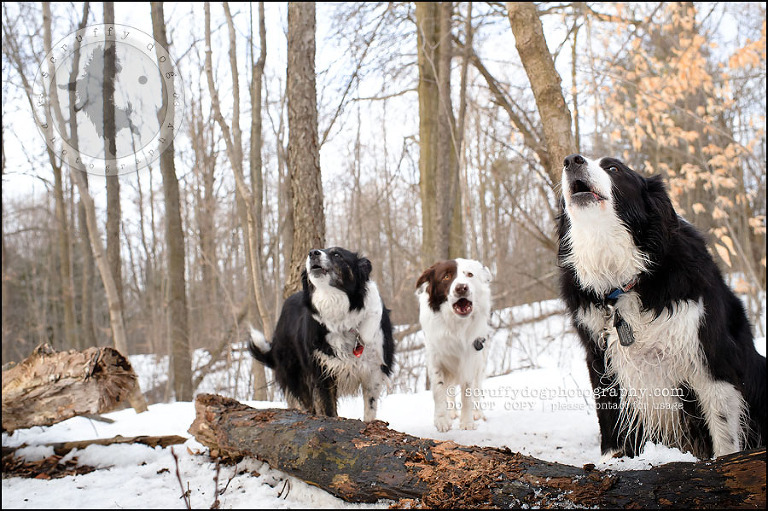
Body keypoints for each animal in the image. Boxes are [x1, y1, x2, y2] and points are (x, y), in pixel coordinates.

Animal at [250, 246, 396, 422]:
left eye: (337, 254)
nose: (313, 253)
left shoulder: (374, 372)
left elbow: (370, 410)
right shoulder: (322, 372)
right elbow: (328, 410)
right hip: (297, 374)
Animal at [414, 260, 492, 432]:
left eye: (469, 274)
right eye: (446, 277)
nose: (461, 288)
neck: (456, 326)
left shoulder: (471, 356)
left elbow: (468, 391)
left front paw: (467, 422)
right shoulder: (435, 357)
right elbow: (438, 389)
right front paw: (442, 420)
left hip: (481, 361)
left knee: (477, 386)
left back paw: (477, 412)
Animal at [556, 154, 764, 462]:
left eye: (614, 168)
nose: (572, 160)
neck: (622, 279)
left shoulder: (710, 357)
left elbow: (724, 432)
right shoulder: (601, 358)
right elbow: (610, 420)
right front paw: (610, 462)